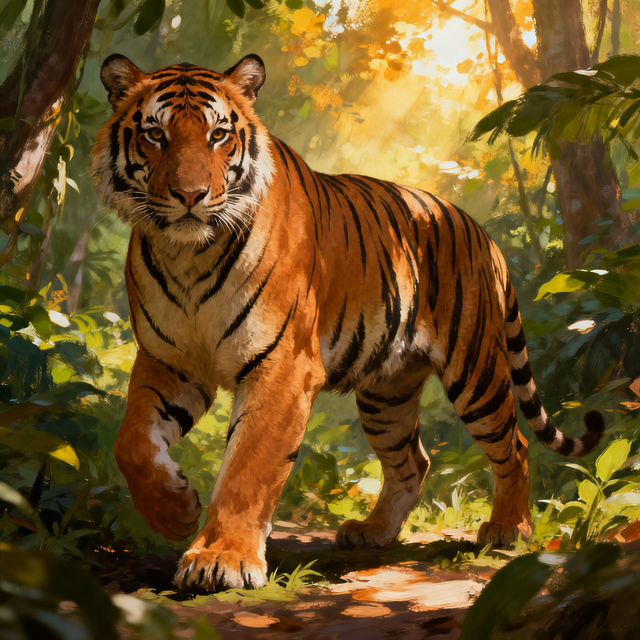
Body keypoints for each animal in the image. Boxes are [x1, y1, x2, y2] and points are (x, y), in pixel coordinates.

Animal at [92, 53, 604, 593]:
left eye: (217, 136)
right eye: (155, 135)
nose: (190, 195)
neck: (188, 256)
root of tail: (481, 232)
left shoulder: (283, 366)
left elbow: (247, 468)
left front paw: (221, 558)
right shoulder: (169, 362)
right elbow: (132, 444)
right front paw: (174, 510)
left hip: (475, 371)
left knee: (515, 444)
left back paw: (509, 529)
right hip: (387, 394)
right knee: (412, 460)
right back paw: (374, 531)